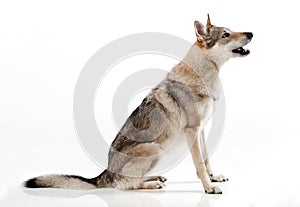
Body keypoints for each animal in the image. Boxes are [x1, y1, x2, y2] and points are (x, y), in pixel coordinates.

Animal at [24, 14, 252, 194]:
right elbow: (199, 164)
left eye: (231, 31)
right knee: (125, 185)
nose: (251, 33)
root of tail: (105, 172)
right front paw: (209, 187)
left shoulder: (201, 130)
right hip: (154, 148)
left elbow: (206, 159)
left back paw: (156, 178)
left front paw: (214, 177)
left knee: (130, 180)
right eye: (226, 35)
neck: (203, 75)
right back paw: (151, 184)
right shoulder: (192, 131)